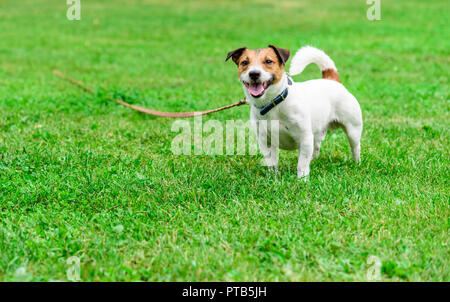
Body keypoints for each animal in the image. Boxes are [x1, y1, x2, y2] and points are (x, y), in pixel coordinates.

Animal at [225, 44, 362, 179]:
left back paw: (356, 163)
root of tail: (331, 80)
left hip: (353, 130)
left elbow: (302, 164)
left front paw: (302, 180)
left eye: (268, 61)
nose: (254, 73)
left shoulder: (304, 138)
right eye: (244, 62)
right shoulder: (265, 141)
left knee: (355, 147)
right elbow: (271, 162)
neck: (273, 103)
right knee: (316, 146)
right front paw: (273, 177)